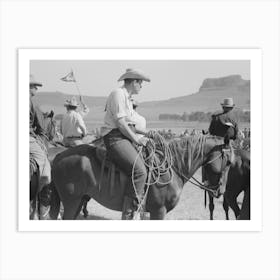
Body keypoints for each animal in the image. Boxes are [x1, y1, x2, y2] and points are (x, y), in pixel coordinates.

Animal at [49, 135, 233, 220]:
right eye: (230, 162)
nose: (221, 191)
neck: (172, 168)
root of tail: (58, 156)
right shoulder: (159, 211)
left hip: (80, 200)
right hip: (71, 201)